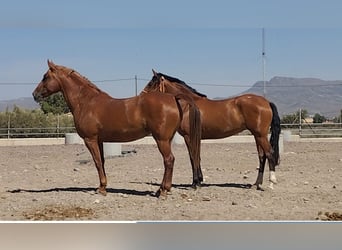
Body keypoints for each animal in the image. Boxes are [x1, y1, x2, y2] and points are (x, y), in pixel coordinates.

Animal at [32, 61, 202, 197]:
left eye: (45, 77)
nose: (34, 94)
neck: (86, 102)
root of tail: (173, 97)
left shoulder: (90, 139)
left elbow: (97, 162)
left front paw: (101, 189)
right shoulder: (99, 140)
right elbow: (102, 161)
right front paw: (103, 186)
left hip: (162, 140)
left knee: (169, 160)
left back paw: (163, 191)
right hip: (167, 139)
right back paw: (161, 190)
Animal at [143, 70, 282, 189]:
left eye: (151, 83)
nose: (141, 96)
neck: (188, 105)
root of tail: (266, 102)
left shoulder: (189, 136)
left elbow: (193, 157)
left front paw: (195, 183)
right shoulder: (196, 137)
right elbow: (197, 156)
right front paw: (199, 180)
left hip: (261, 135)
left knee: (269, 153)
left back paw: (271, 183)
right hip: (257, 135)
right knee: (262, 156)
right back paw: (256, 184)